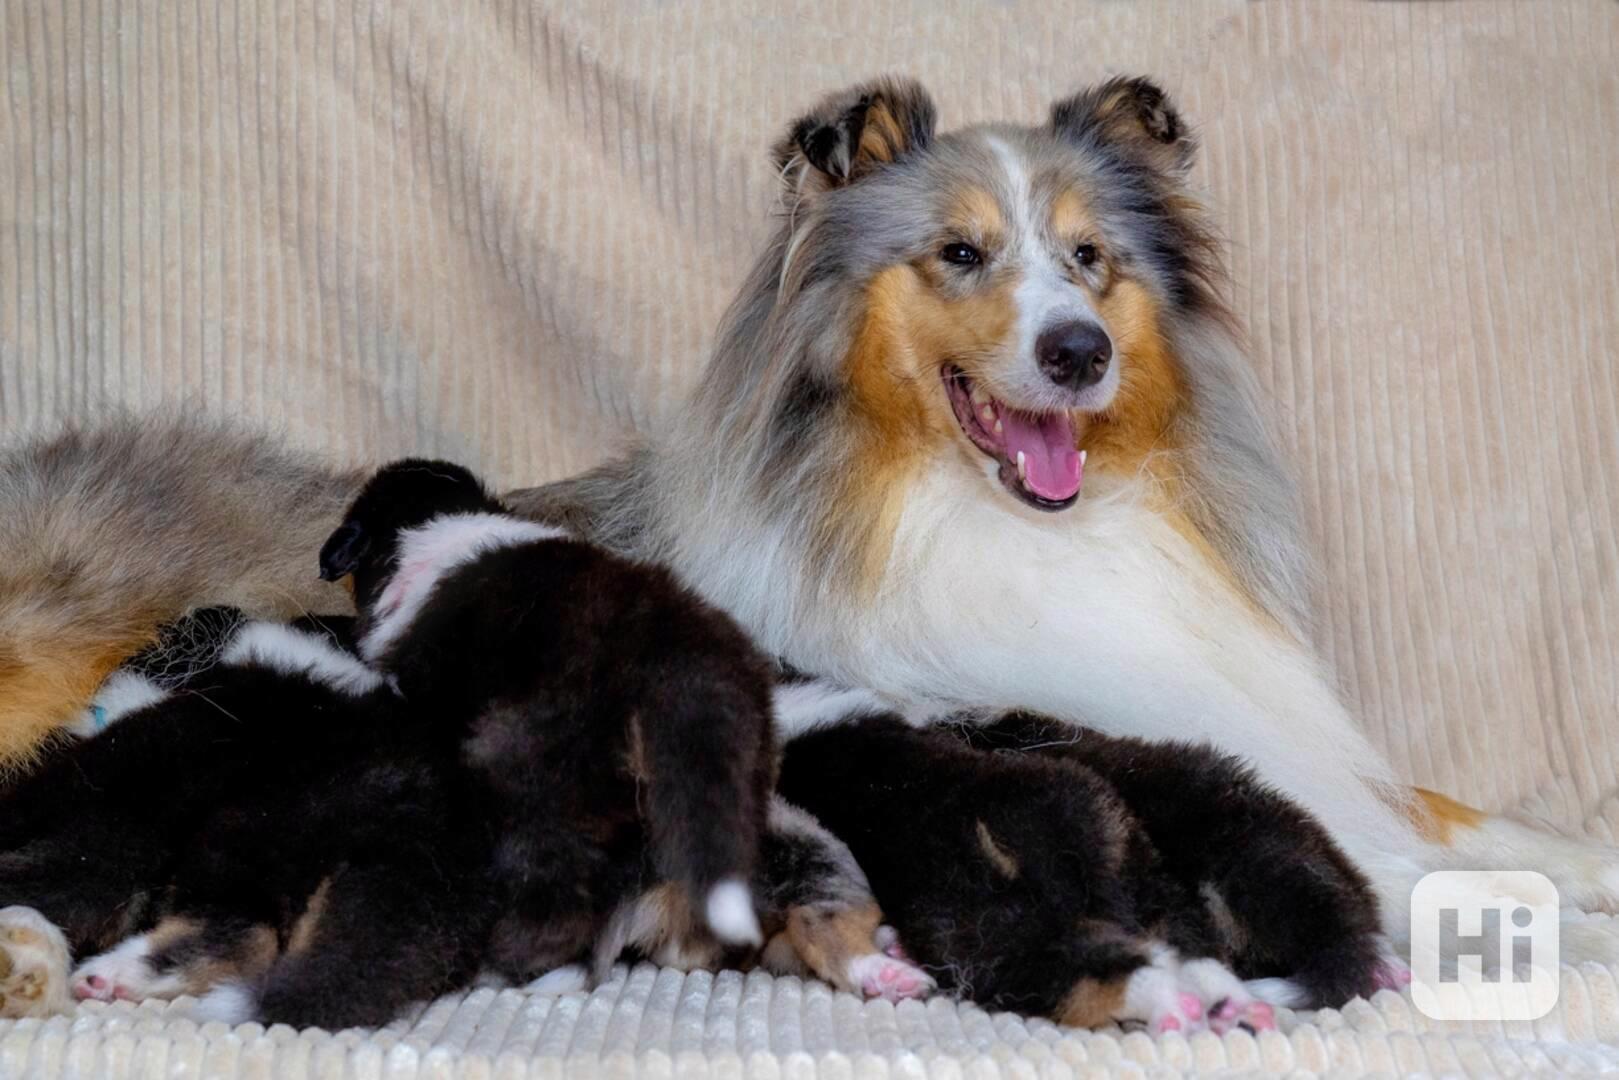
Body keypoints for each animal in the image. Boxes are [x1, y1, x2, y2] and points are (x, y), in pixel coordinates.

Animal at [0, 74, 1612, 952]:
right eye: (958, 254)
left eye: (1088, 259)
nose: (1075, 354)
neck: (1021, 529)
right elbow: (1389, 854)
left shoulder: (1291, 731)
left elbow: (1439, 805)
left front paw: (1576, 863)